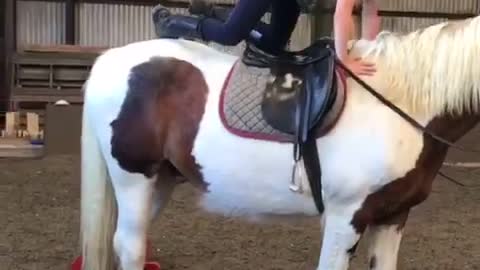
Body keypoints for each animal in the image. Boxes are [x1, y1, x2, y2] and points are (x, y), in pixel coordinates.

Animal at [79, 14, 480, 270]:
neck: (401, 102)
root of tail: (110, 57)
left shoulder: (393, 216)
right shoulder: (346, 216)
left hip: (160, 180)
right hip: (133, 176)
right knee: (130, 247)